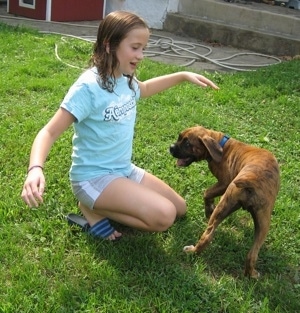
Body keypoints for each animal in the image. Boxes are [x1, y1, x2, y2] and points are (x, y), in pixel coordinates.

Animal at [170, 125, 280, 276]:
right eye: (179, 137)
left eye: (187, 143)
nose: (171, 147)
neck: (222, 145)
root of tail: (251, 179)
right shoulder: (224, 184)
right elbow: (207, 193)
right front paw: (209, 209)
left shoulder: (224, 183)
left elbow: (207, 193)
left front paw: (209, 209)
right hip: (247, 213)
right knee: (210, 237)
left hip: (251, 216)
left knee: (250, 254)